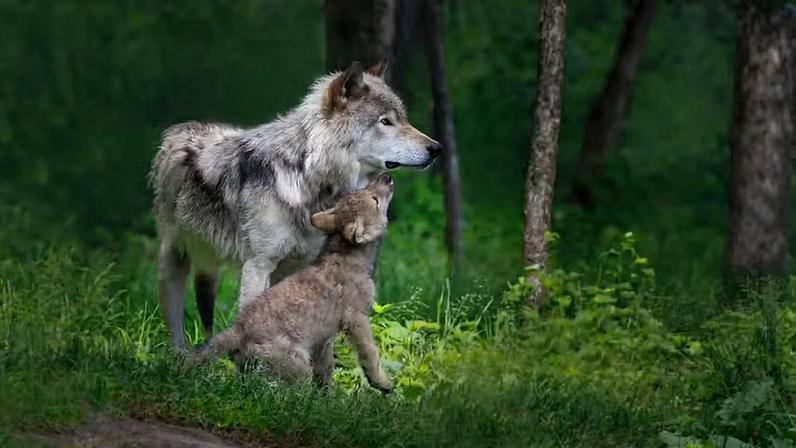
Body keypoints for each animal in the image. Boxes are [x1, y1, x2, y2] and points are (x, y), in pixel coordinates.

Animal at [151, 61, 440, 349]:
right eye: (385, 121)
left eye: (404, 119)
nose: (436, 148)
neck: (306, 178)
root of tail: (181, 130)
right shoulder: (257, 266)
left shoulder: (300, 266)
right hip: (174, 262)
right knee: (175, 322)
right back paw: (180, 356)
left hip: (207, 261)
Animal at [185, 174, 395, 393]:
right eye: (375, 200)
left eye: (364, 190)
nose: (387, 177)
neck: (347, 255)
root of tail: (237, 328)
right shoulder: (356, 318)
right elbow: (370, 354)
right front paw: (383, 384)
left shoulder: (323, 339)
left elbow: (326, 368)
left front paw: (327, 396)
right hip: (299, 367)